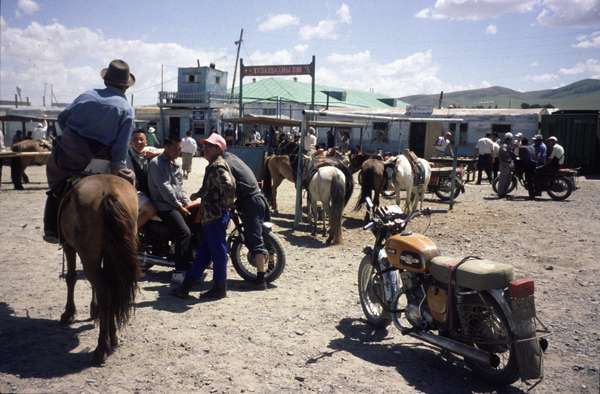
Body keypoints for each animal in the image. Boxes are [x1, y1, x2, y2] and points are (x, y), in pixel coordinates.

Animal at [60, 174, 141, 364]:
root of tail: (109, 193)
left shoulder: (69, 247)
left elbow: (71, 278)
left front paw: (69, 313)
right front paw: (93, 309)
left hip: (89, 256)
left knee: (104, 291)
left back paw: (102, 347)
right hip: (113, 255)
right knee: (110, 289)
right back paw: (112, 338)